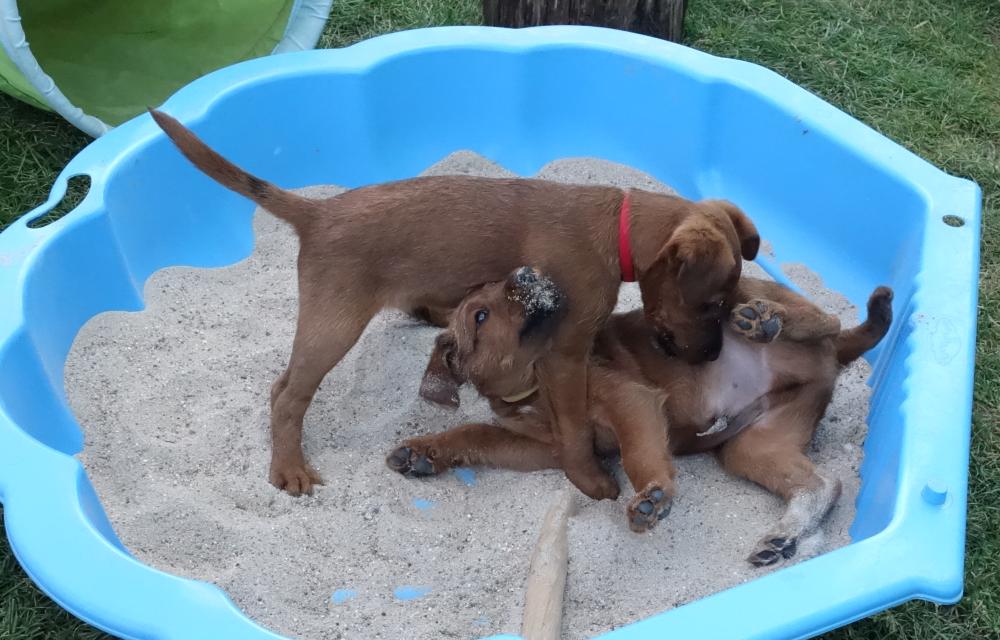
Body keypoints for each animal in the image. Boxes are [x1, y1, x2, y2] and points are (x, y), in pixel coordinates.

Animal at [150, 110, 761, 499]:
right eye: (712, 303)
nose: (711, 356)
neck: (617, 229)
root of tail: (317, 213)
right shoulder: (565, 354)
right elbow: (572, 429)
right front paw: (589, 481)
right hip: (333, 325)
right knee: (286, 394)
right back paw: (289, 466)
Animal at [387, 267, 892, 565]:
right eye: (481, 315)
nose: (526, 270)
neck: (534, 386)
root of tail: (833, 357)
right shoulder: (538, 448)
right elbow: (474, 432)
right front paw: (422, 452)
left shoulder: (630, 400)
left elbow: (638, 455)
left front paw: (652, 495)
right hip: (753, 445)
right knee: (822, 484)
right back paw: (785, 536)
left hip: (741, 291)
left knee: (825, 318)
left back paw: (768, 320)